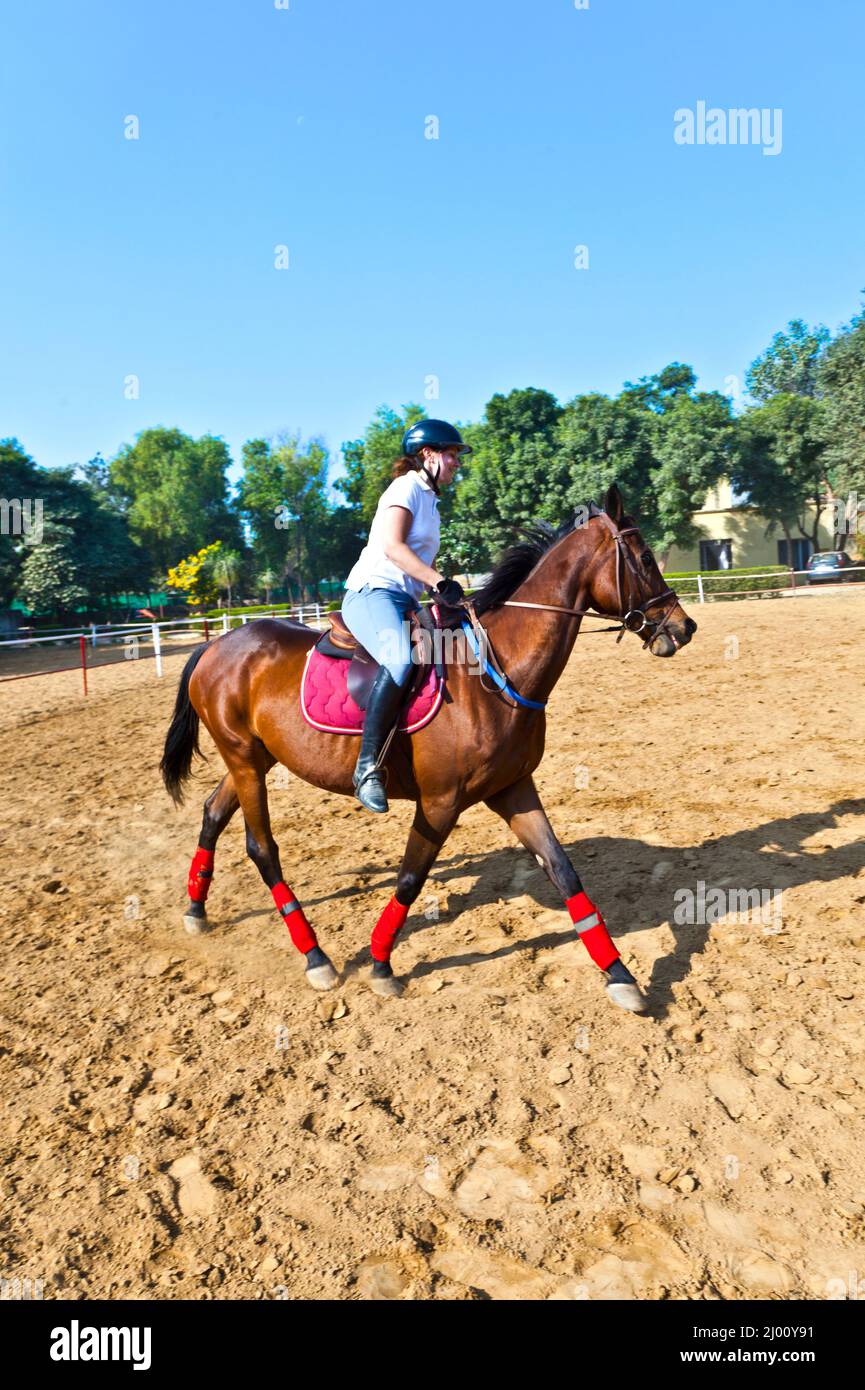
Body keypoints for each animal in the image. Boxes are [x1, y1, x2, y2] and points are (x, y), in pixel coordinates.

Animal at [160, 484, 696, 1012]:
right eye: (645, 557)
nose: (683, 627)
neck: (497, 672)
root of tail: (217, 644)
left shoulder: (514, 789)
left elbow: (564, 873)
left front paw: (620, 975)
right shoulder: (440, 802)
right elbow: (409, 879)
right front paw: (381, 965)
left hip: (252, 758)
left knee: (213, 813)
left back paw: (195, 910)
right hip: (246, 760)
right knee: (262, 848)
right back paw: (316, 957)